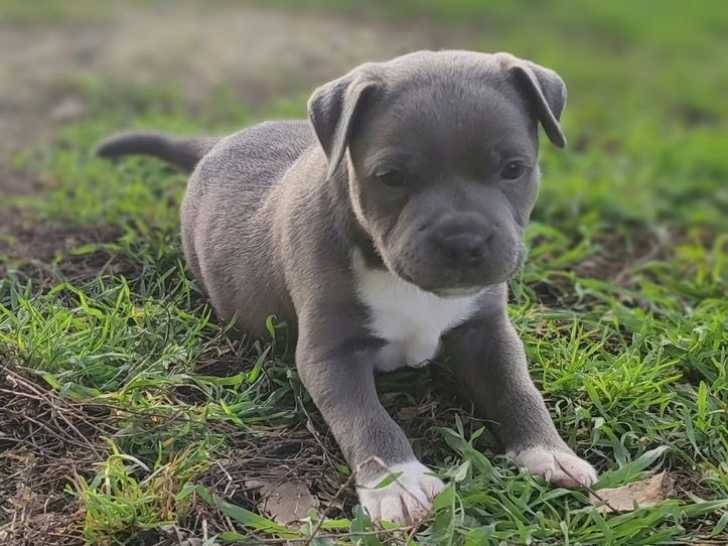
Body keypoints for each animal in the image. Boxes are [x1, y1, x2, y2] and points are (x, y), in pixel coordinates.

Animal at [97, 50, 597, 524]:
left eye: (513, 169)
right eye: (391, 177)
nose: (464, 241)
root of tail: (217, 142)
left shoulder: (488, 331)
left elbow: (517, 388)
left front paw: (550, 452)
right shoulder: (329, 355)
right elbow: (366, 417)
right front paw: (398, 483)